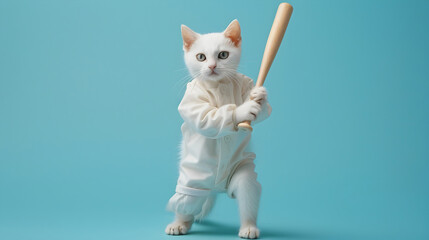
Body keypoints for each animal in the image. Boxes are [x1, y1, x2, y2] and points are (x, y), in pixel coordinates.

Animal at [165, 19, 270, 239]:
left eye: (223, 55)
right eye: (201, 57)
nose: (212, 66)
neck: (219, 84)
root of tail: (216, 188)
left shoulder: (245, 82)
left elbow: (264, 110)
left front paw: (260, 96)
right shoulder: (191, 99)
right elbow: (207, 118)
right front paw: (242, 111)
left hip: (242, 173)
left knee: (248, 193)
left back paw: (248, 227)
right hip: (191, 182)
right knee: (186, 202)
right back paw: (180, 223)